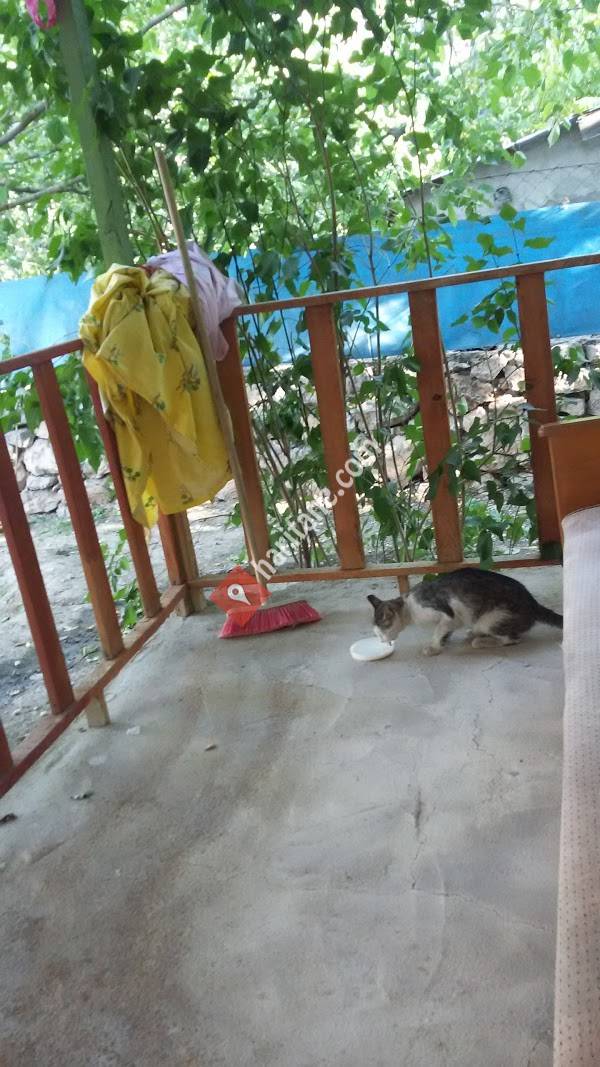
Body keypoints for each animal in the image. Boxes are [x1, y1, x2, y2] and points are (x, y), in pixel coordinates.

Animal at [367, 567, 562, 656]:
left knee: (512, 639)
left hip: (490, 620)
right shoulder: (452, 621)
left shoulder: (446, 613)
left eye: (380, 633)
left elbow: (438, 630)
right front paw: (442, 644)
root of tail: (533, 603)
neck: (409, 606)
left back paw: (481, 641)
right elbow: (444, 631)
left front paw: (434, 647)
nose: (381, 641)